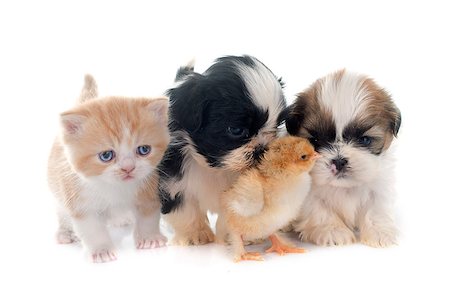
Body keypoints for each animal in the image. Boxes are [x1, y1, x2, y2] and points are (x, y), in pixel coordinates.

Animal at [48, 75, 170, 262]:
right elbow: (91, 228)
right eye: (106, 155)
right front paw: (101, 250)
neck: (115, 187)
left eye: (144, 150)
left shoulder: (148, 187)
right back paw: (65, 233)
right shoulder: (79, 199)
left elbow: (148, 216)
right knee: (62, 212)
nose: (128, 168)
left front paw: (150, 238)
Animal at [158, 55, 284, 244]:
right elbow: (184, 210)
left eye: (277, 126)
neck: (215, 168)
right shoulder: (171, 182)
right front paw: (195, 234)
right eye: (236, 130)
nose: (262, 148)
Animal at [284, 69, 400, 247]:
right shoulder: (309, 195)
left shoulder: (379, 185)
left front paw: (380, 232)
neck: (345, 187)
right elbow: (320, 210)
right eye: (315, 141)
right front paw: (332, 230)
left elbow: (376, 209)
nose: (338, 161)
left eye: (364, 140)